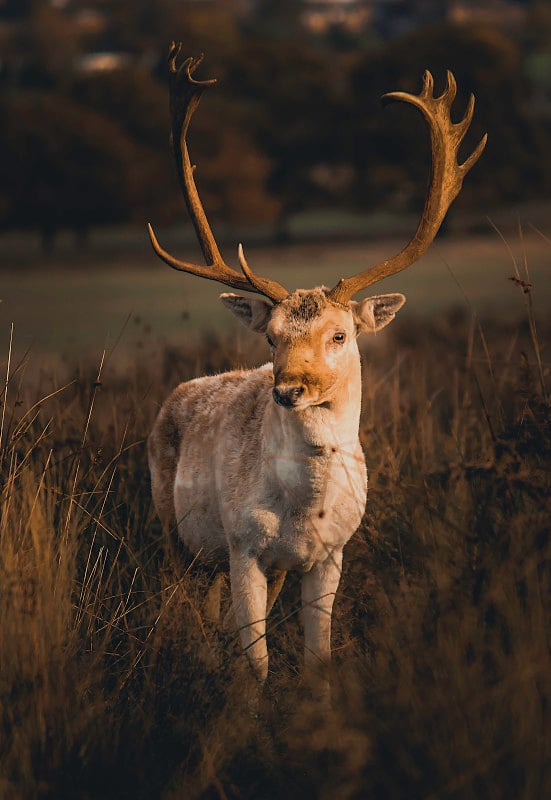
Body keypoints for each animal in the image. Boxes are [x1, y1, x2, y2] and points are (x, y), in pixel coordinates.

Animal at [148, 45, 488, 708]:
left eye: (340, 334)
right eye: (271, 336)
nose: (288, 388)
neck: (304, 511)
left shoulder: (330, 555)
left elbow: (318, 660)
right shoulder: (243, 547)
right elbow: (256, 664)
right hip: (170, 528)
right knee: (189, 611)